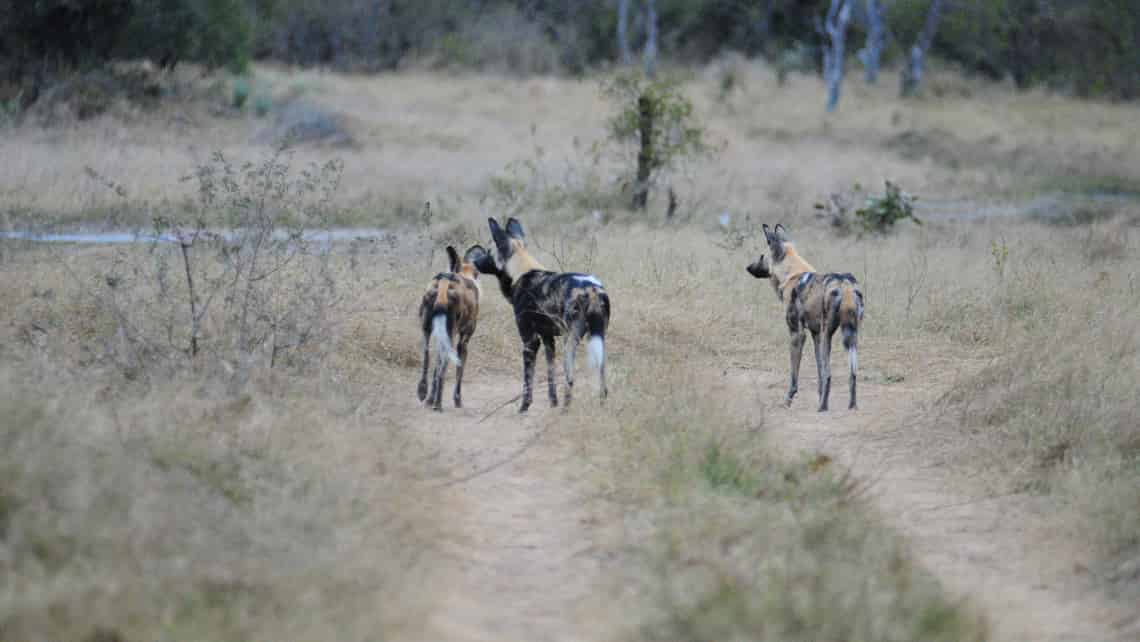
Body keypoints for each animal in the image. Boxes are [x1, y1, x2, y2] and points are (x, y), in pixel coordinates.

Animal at [421, 244, 487, 415]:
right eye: (477, 274)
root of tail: (446, 279)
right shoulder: (463, 342)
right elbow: (458, 371)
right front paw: (457, 400)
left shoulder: (441, 337)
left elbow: (435, 370)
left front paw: (429, 400)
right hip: (451, 336)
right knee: (443, 367)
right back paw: (438, 404)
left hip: (427, 331)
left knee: (426, 358)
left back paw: (422, 392)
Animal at [471, 218, 615, 415]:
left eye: (487, 251)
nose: (474, 261)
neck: (521, 270)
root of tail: (592, 289)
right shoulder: (548, 339)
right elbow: (550, 374)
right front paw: (552, 403)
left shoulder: (530, 340)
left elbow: (527, 379)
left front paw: (524, 407)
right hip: (599, 337)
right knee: (602, 378)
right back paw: (600, 406)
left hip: (570, 341)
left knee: (570, 378)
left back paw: (565, 411)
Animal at [747, 223, 861, 410]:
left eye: (762, 256)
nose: (748, 267)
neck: (792, 274)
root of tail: (843, 285)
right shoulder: (815, 334)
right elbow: (819, 372)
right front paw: (820, 394)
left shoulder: (797, 334)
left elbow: (795, 374)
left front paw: (788, 399)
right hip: (849, 336)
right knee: (852, 373)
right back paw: (851, 405)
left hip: (828, 335)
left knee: (829, 373)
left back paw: (823, 408)